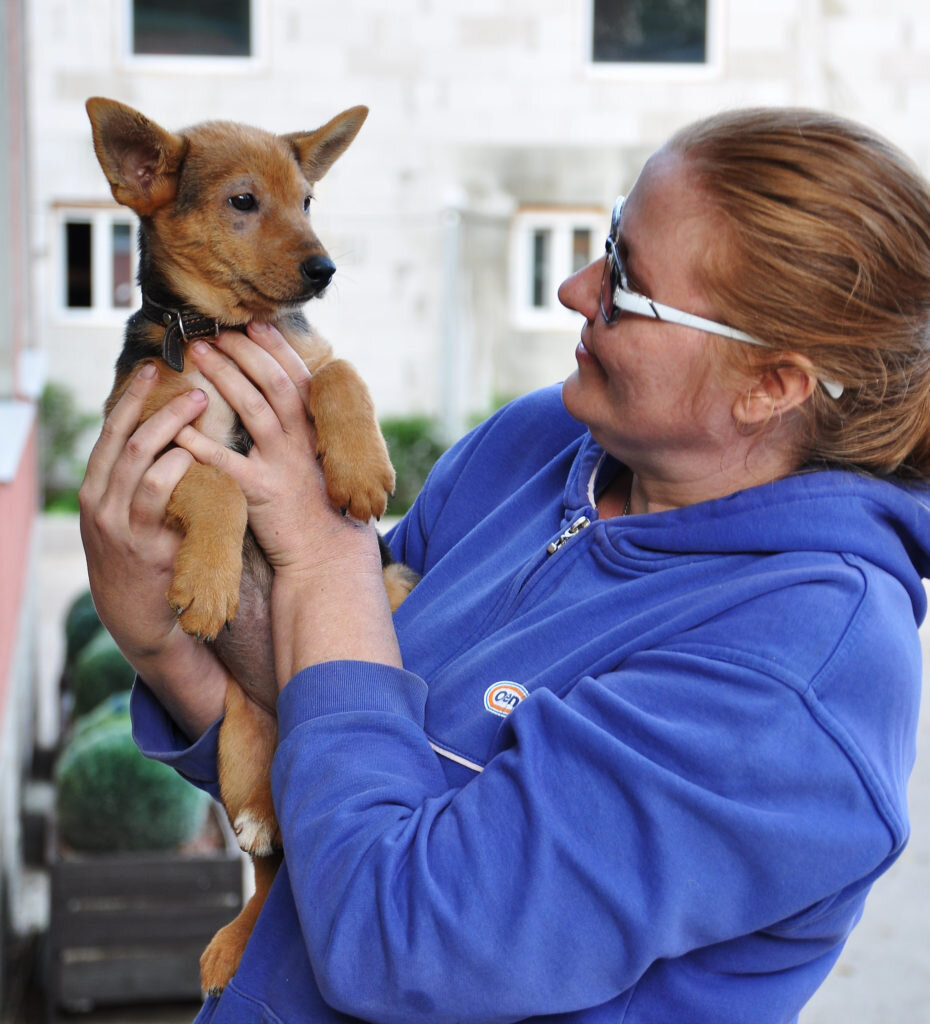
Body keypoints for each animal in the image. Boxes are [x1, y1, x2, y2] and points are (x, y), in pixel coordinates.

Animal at [86, 96, 413, 991]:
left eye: (307, 201)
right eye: (242, 202)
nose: (324, 271)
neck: (219, 332)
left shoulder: (305, 355)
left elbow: (338, 372)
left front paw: (362, 470)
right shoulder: (155, 447)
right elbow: (220, 480)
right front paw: (209, 583)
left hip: (395, 579)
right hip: (235, 749)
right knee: (270, 867)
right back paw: (234, 934)